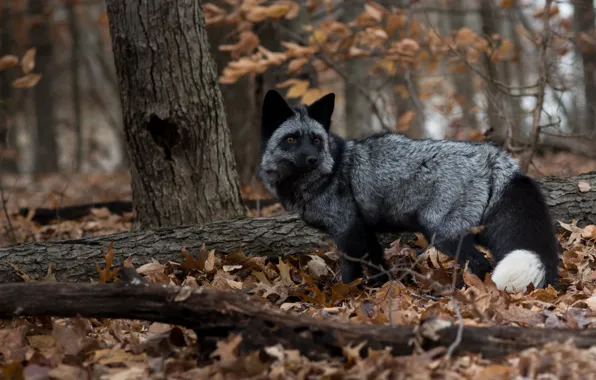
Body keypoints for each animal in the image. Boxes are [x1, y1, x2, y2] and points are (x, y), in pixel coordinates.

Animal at [258, 90, 560, 292]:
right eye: (291, 140)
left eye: (316, 140)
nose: (312, 159)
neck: (331, 170)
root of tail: (493, 155)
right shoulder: (365, 230)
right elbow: (378, 266)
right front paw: (379, 292)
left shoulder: (346, 230)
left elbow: (349, 271)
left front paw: (347, 296)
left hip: (442, 233)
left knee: (480, 264)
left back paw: (461, 294)